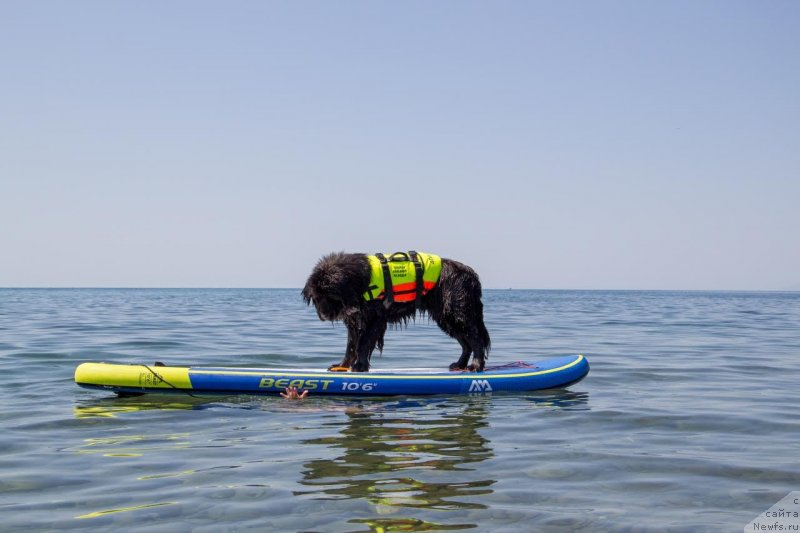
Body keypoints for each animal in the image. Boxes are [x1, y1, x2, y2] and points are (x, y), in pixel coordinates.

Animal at [300, 251, 488, 372]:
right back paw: (460, 364)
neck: (360, 281)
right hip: (445, 318)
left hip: (458, 313)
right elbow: (351, 346)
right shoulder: (355, 320)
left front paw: (359, 366)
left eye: (331, 296)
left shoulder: (376, 318)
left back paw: (476, 365)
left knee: (476, 338)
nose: (323, 316)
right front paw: (342, 365)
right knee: (465, 343)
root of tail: (471, 274)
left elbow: (362, 344)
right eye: (317, 298)